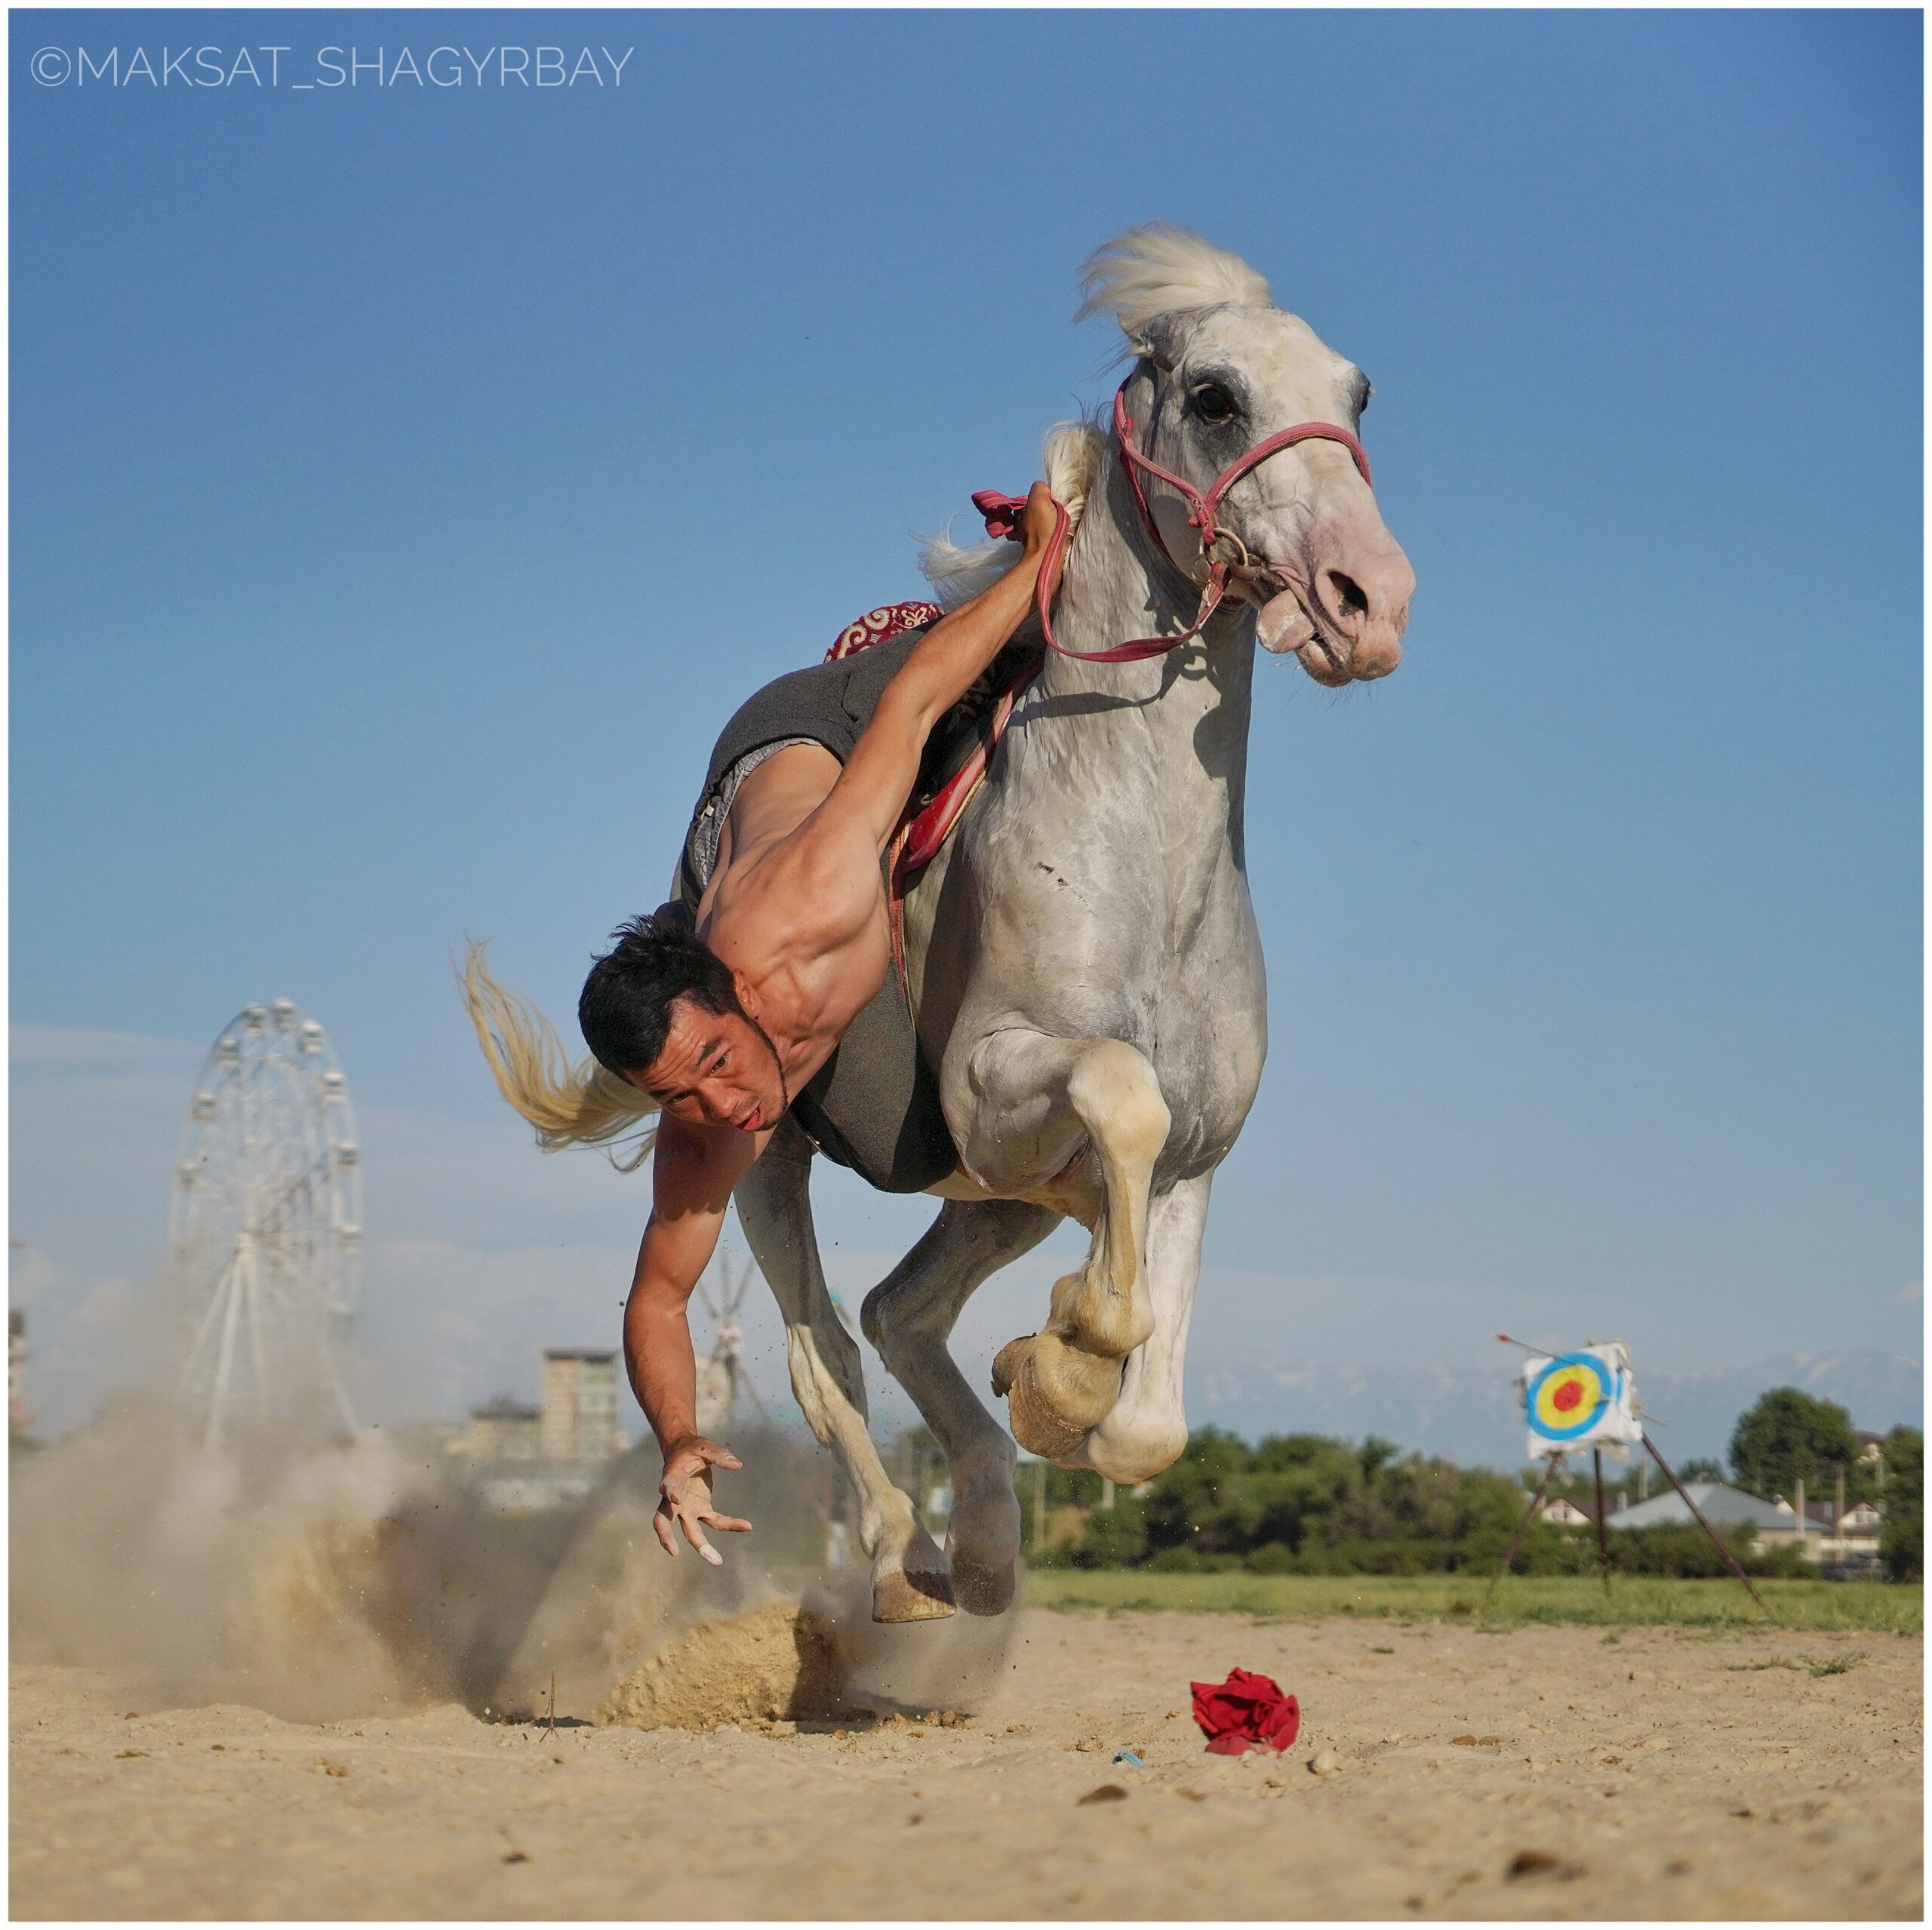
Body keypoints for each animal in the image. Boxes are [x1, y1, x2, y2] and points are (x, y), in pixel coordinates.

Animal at [460, 233, 1414, 1638]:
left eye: (1356, 396)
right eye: (1217, 396)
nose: (1372, 597)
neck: (1139, 862)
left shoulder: (1192, 1157)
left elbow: (1151, 1423)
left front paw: (1054, 1371)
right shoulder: (999, 1088)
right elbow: (1116, 1100)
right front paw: (1060, 1366)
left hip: (988, 1202)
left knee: (898, 1312)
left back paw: (986, 1543)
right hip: (762, 1155)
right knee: (822, 1346)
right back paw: (905, 1553)